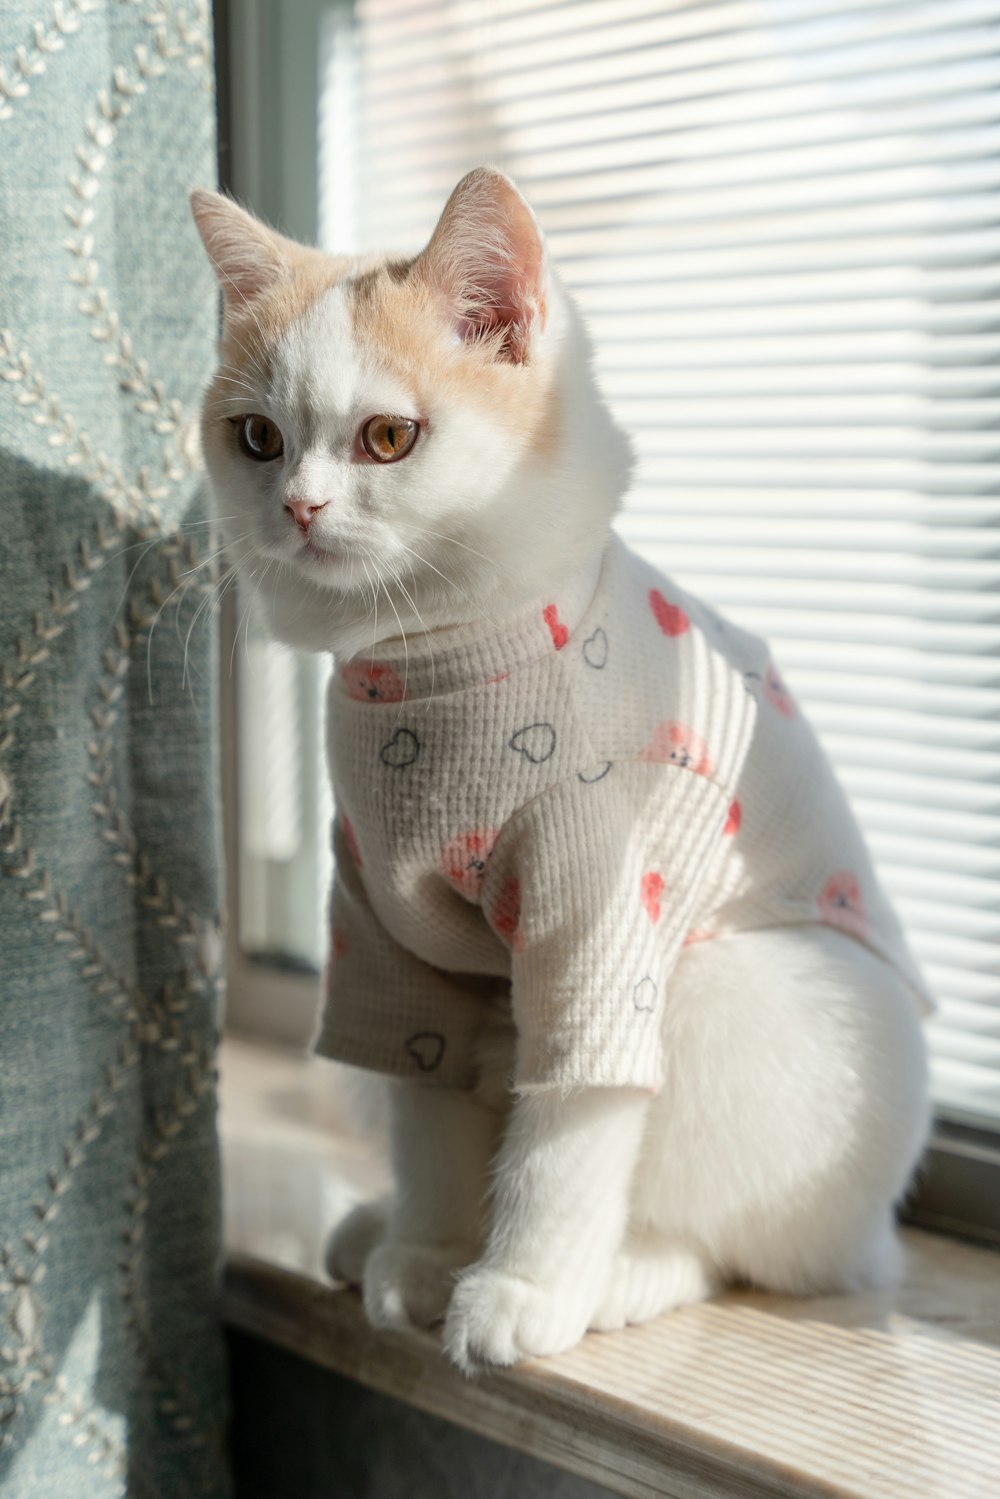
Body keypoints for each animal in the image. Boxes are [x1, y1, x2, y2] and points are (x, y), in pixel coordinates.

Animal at [193, 164, 929, 1373]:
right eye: (255, 437)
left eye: (387, 436)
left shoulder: (597, 933)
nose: (297, 505)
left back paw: (621, 1275)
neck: (436, 670)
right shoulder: (383, 941)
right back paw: (373, 1227)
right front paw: (425, 1257)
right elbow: (429, 1114)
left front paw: (519, 1288)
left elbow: (567, 1144)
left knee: (739, 1245)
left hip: (722, 997)